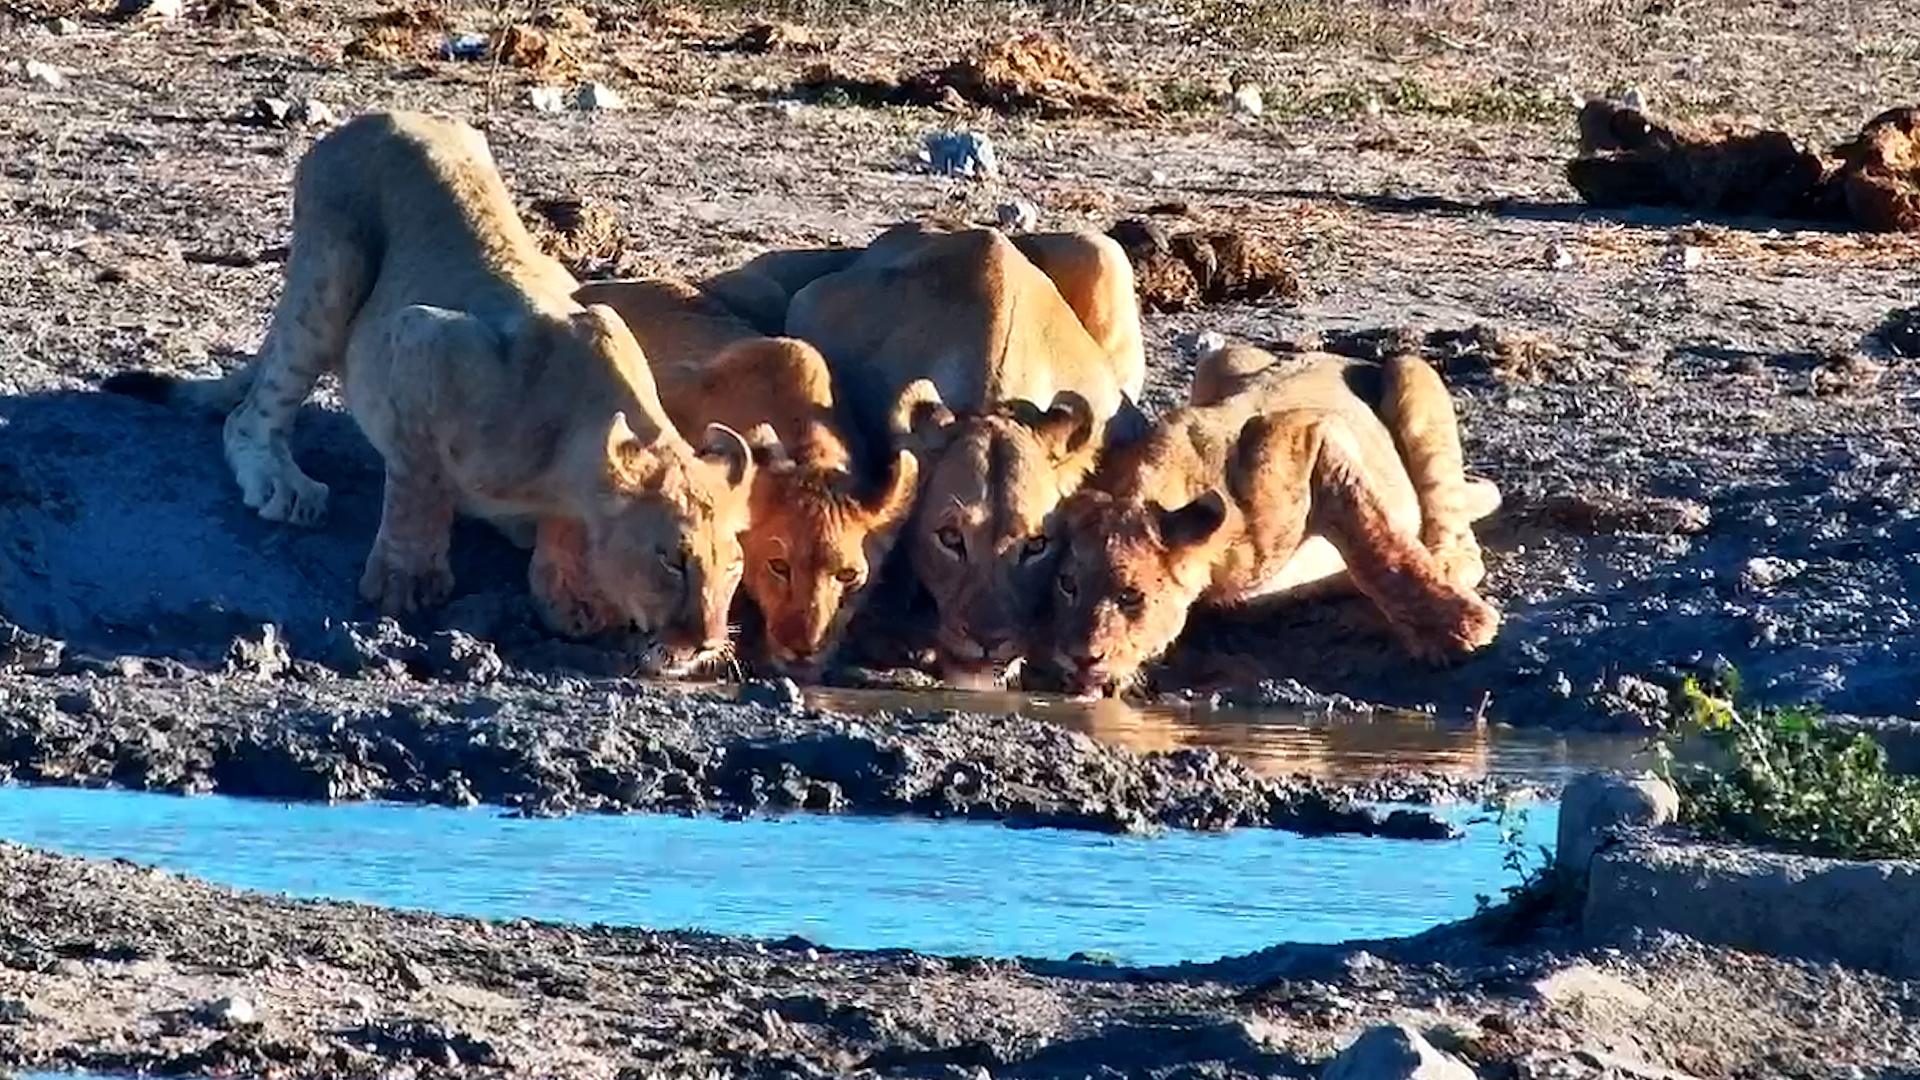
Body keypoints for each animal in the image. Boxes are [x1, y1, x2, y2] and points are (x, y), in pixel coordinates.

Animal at [100, 110, 755, 676]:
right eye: (672, 560)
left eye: (732, 567)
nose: (707, 643)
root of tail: (380, 115)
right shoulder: (424, 339)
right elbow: (419, 483)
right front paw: (406, 581)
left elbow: (560, 533)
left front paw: (568, 594)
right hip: (333, 265)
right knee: (250, 412)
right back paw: (283, 484)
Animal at [1050, 343, 1503, 697]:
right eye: (1068, 585)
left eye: (1131, 596)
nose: (1079, 657)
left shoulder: (1306, 435)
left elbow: (1376, 541)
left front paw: (1458, 627)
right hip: (1222, 357)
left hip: (1413, 374)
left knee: (1458, 536)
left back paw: (1440, 567)